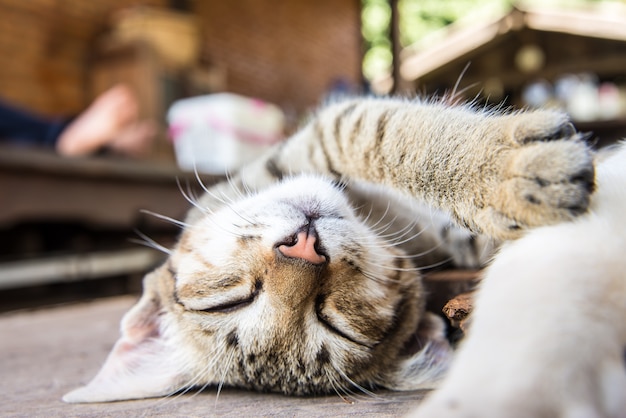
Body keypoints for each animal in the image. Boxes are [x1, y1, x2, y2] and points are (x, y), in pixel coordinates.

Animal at [62, 96, 596, 410]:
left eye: (229, 299)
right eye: (332, 319)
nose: (303, 247)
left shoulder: (319, 139)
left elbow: (384, 136)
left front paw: (499, 176)